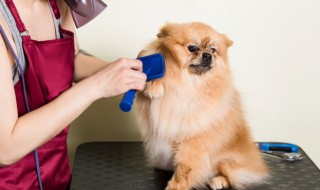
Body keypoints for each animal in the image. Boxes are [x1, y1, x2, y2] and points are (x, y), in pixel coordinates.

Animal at [134, 22, 268, 190]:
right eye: (192, 48)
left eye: (213, 50)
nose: (207, 55)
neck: (189, 82)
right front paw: (154, 86)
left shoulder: (193, 139)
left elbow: (185, 167)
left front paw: (176, 186)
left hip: (228, 161)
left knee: (234, 175)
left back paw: (218, 181)